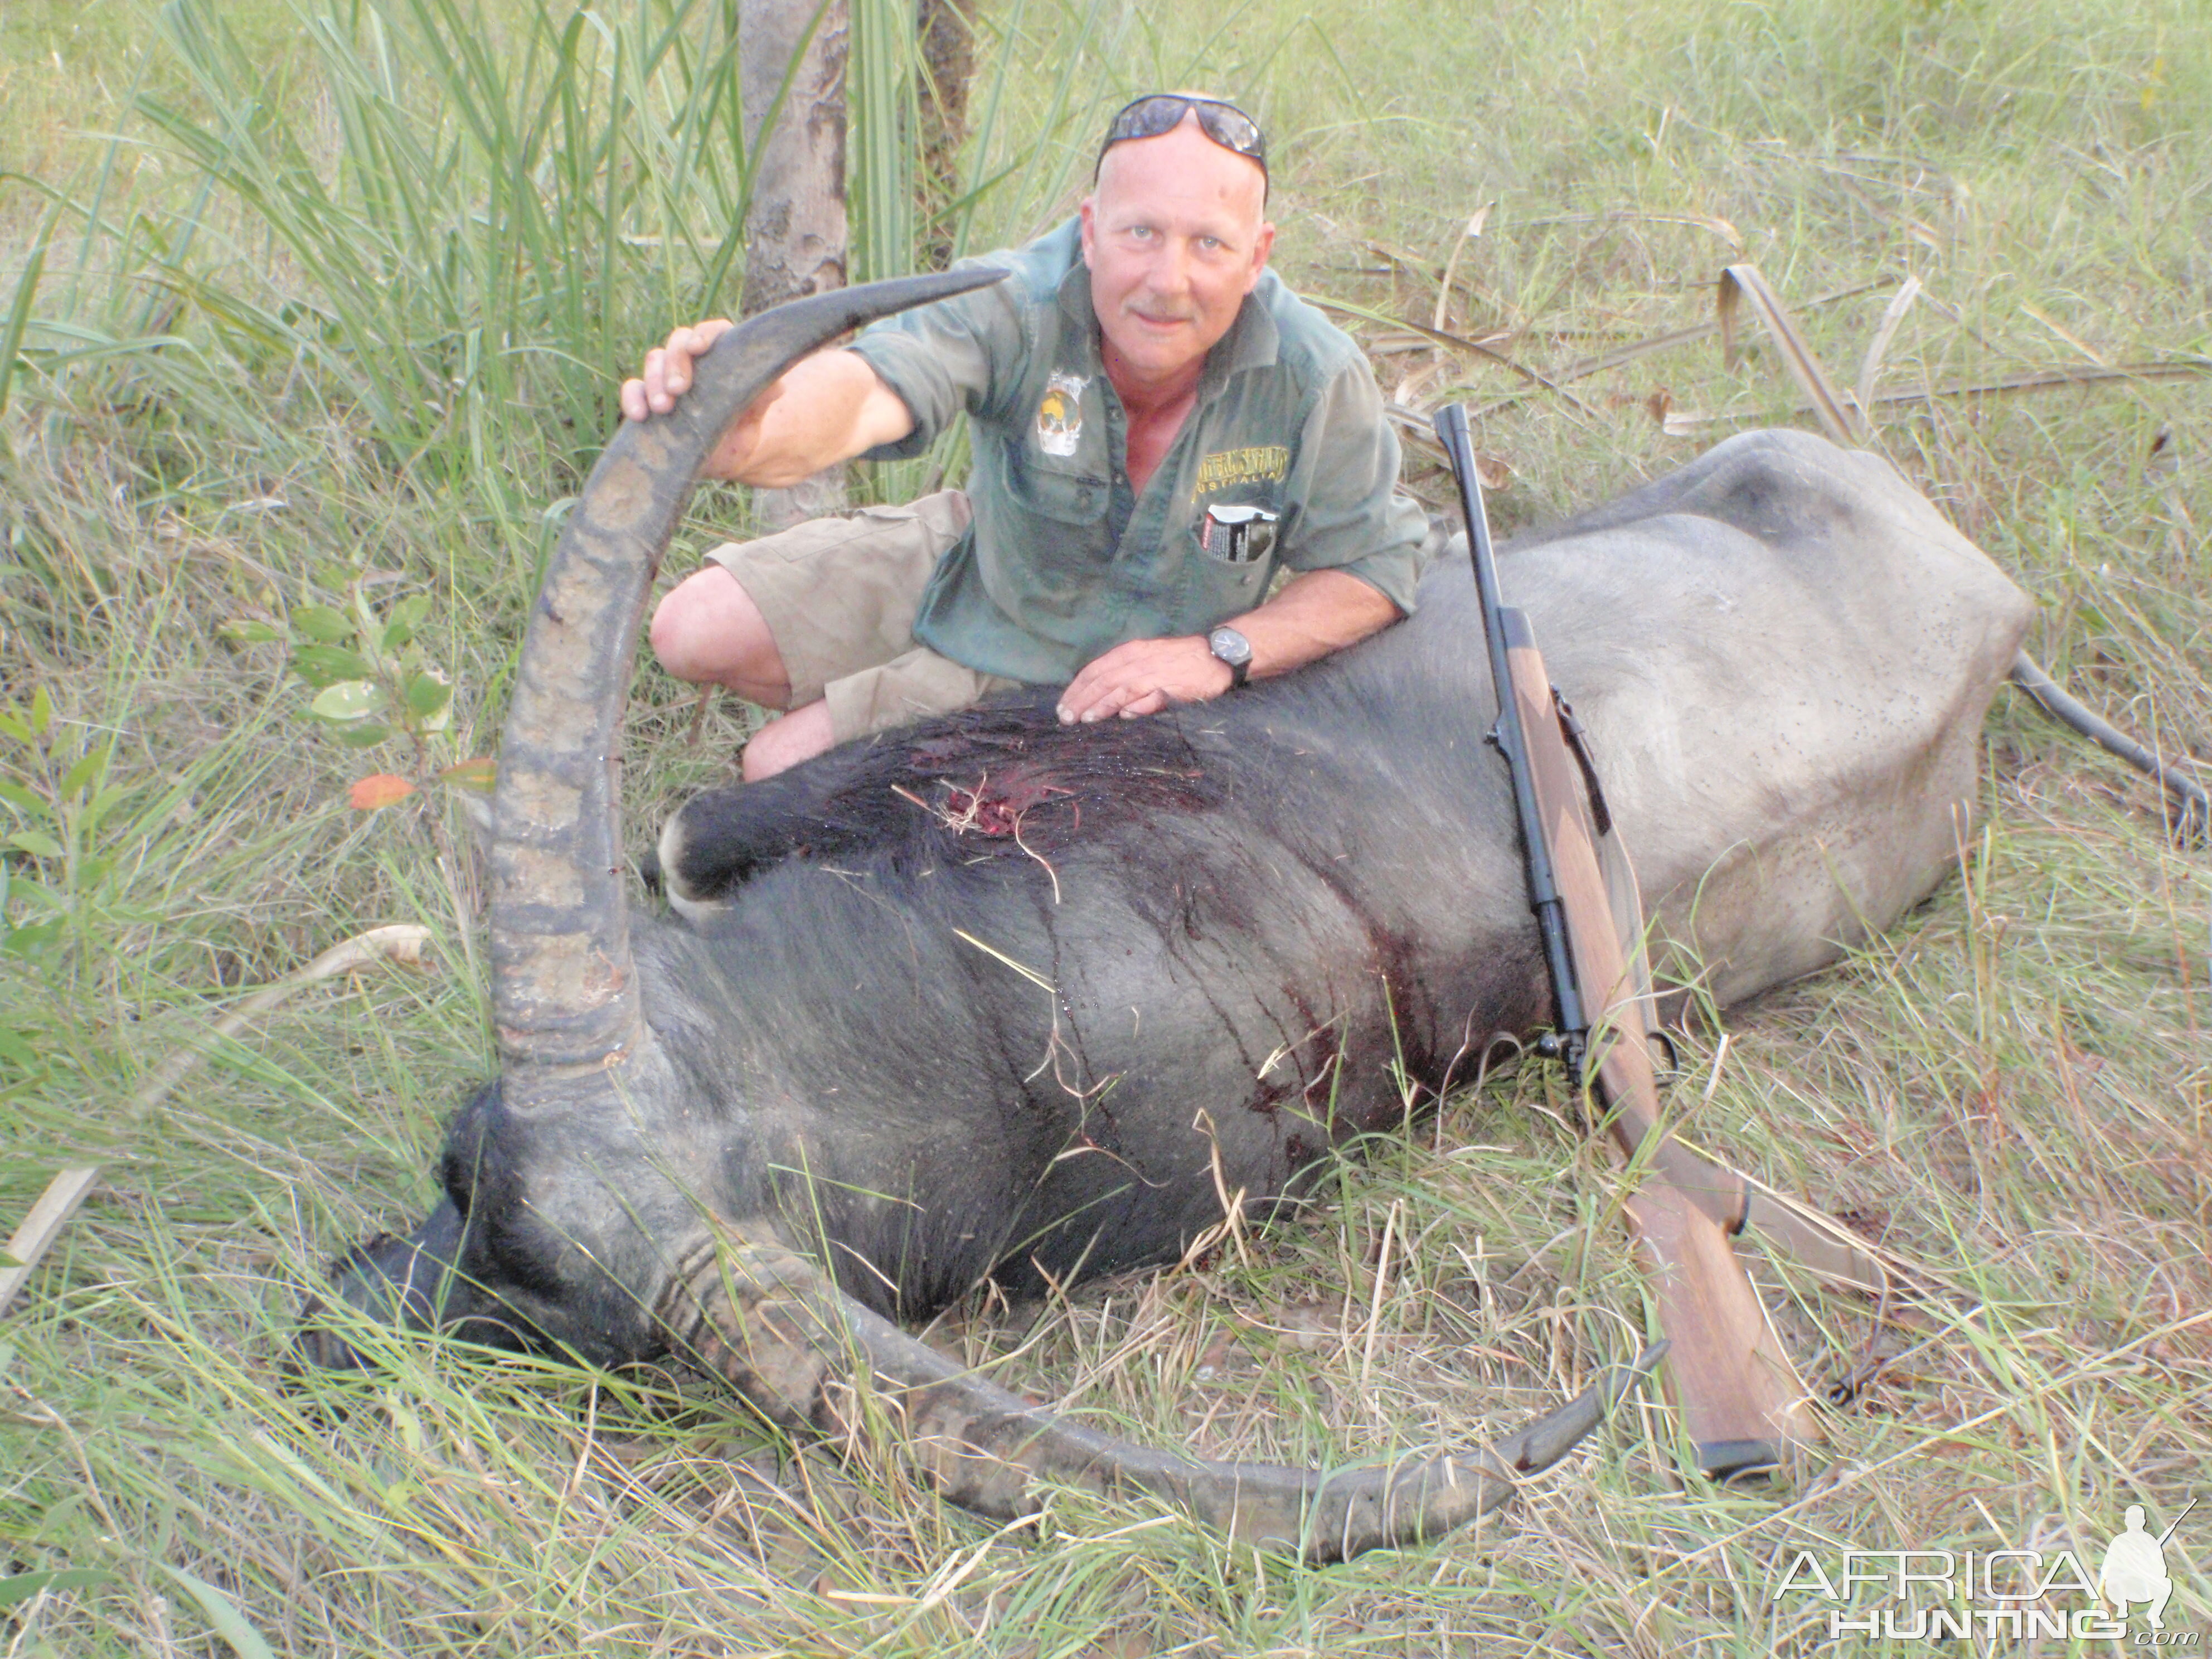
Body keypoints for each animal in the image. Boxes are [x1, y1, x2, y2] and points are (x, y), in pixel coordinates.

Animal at [294, 270, 2035, 1557]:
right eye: (457, 1162)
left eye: (585, 1337)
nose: (323, 1338)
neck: (985, 999)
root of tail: (1992, 595)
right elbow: (685, 831)